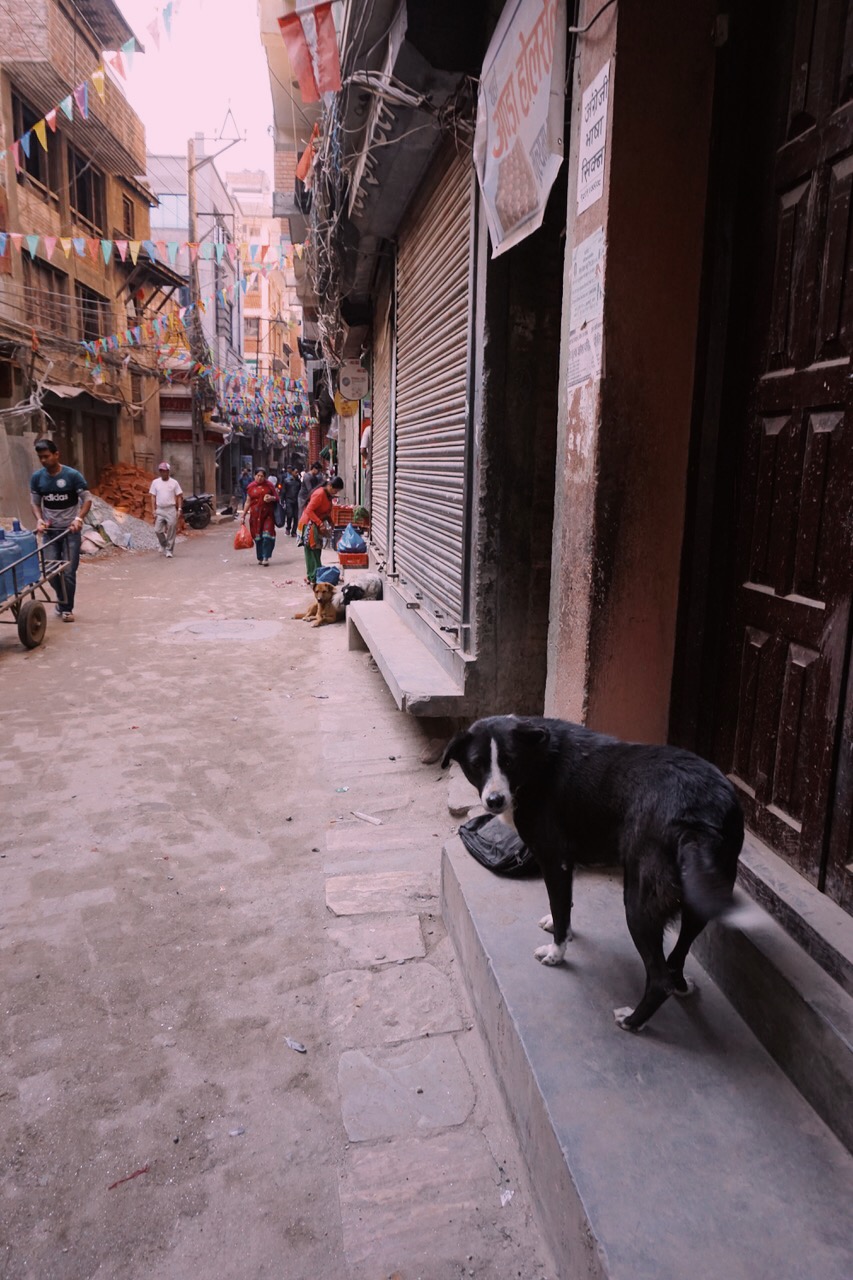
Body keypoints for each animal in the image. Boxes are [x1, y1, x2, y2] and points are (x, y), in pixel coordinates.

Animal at [440, 716, 742, 1034]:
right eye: (476, 764)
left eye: (509, 761)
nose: (495, 801)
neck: (537, 759)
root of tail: (699, 817)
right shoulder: (567, 862)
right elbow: (564, 905)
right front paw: (562, 929)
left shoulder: (554, 859)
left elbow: (559, 908)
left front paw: (556, 953)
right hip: (701, 900)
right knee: (679, 953)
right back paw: (681, 984)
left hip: (638, 902)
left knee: (660, 980)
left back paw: (632, 1021)